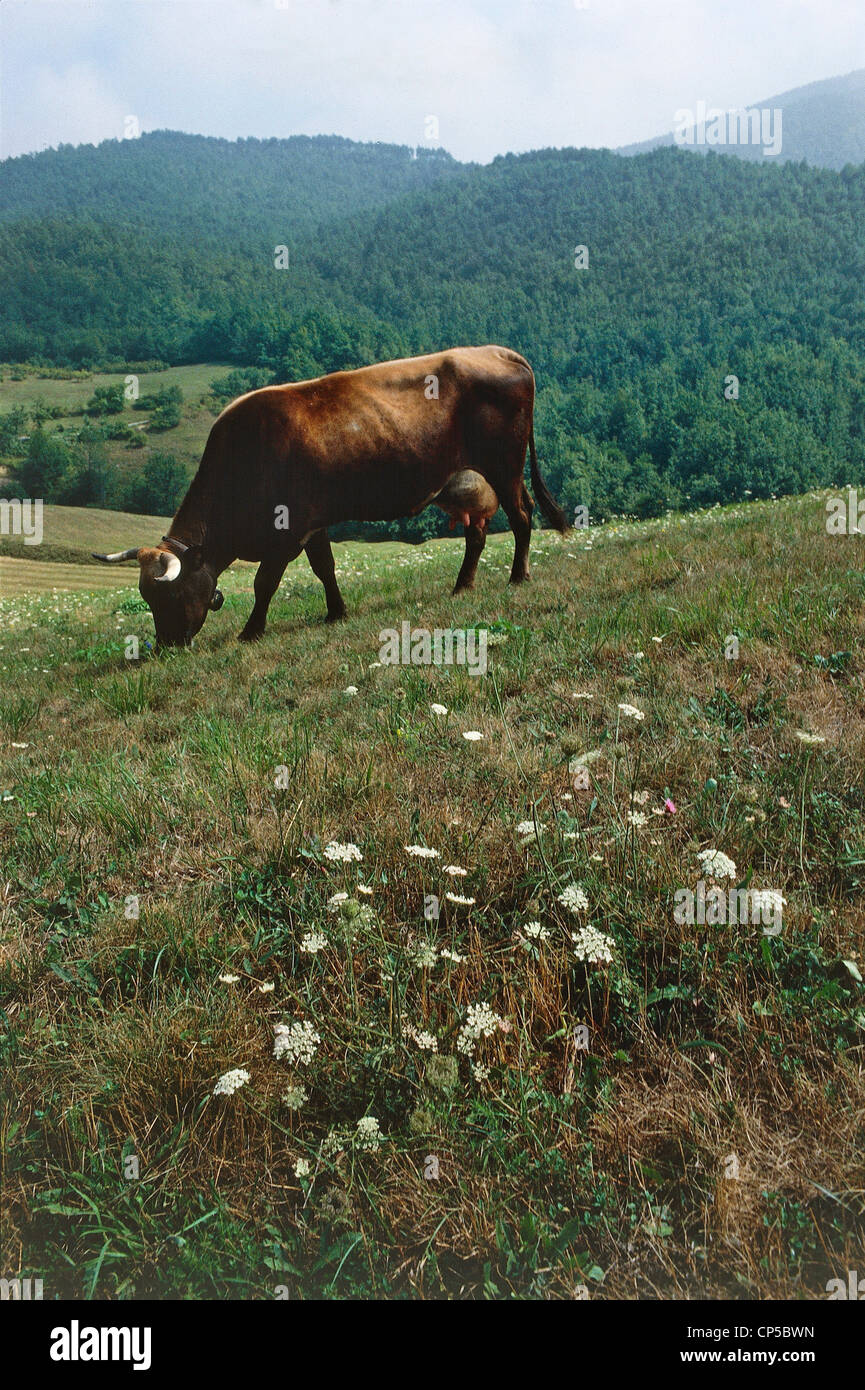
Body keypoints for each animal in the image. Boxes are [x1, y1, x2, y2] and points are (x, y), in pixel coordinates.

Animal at [94, 347, 570, 650]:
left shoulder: (287, 530)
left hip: (505, 466)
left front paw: (251, 631)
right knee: (477, 534)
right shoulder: (313, 523)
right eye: (147, 599)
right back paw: (462, 585)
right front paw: (337, 612)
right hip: (471, 482)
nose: (166, 646)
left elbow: (264, 582)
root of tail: (500, 351)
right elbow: (325, 567)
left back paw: (518, 577)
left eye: (170, 596)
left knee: (522, 516)